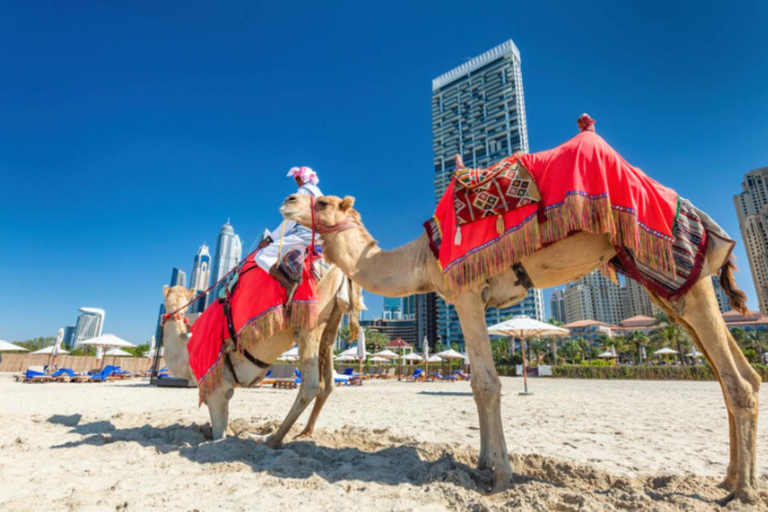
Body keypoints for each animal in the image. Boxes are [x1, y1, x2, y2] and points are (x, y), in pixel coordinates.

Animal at [161, 264, 361, 444]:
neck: (185, 351)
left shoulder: (216, 389)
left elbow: (218, 436)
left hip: (311, 316)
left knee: (311, 385)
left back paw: (269, 440)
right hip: (332, 318)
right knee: (328, 380)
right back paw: (302, 433)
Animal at [280, 193, 761, 503]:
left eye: (321, 203)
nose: (286, 200)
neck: (420, 259)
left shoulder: (466, 292)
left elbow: (487, 385)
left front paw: (501, 479)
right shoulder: (468, 298)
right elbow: (477, 387)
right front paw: (481, 464)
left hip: (674, 270)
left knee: (736, 380)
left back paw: (742, 491)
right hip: (663, 284)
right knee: (738, 375)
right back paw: (729, 480)